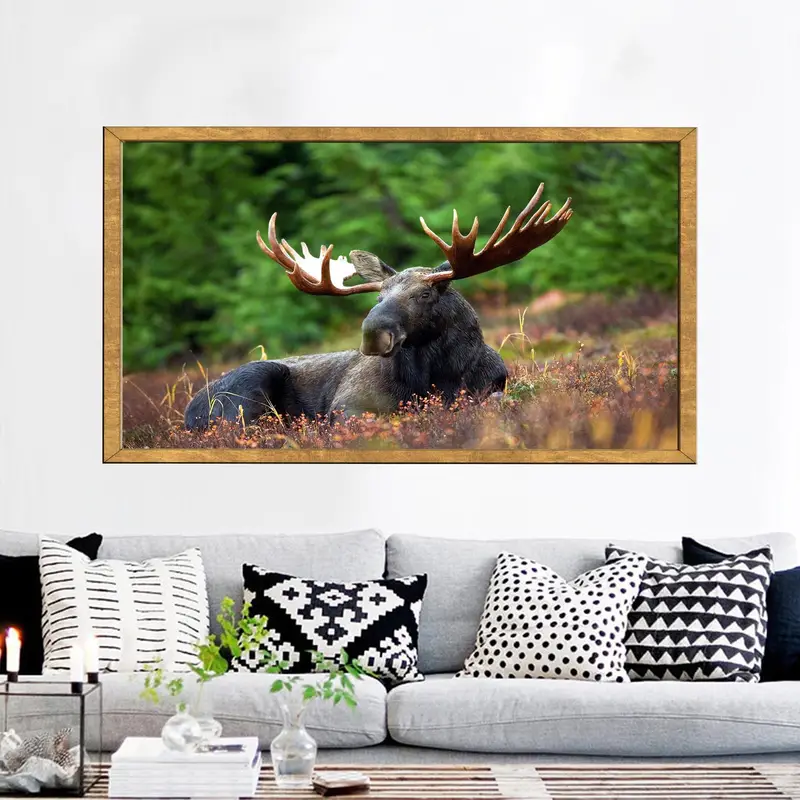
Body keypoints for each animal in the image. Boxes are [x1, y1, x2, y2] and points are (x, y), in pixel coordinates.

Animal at [184, 185, 573, 430]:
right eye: (378, 297)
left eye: (425, 294)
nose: (373, 334)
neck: (438, 378)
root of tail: (188, 413)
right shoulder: (347, 405)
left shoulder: (492, 388)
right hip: (246, 389)